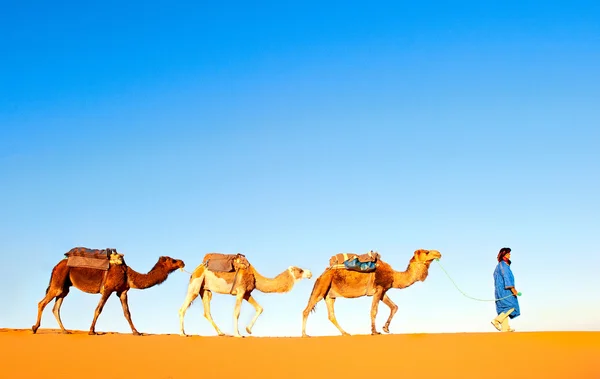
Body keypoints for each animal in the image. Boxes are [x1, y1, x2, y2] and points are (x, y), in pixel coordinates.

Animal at [31, 252, 183, 336]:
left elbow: (127, 313)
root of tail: (56, 266)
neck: (128, 274)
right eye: (172, 260)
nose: (182, 262)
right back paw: (34, 328)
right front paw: (92, 331)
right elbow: (99, 309)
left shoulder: (122, 291)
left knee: (56, 307)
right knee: (42, 303)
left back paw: (65, 331)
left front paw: (137, 332)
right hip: (58, 281)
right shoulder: (108, 288)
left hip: (65, 287)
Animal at [179, 252, 314, 338]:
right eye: (300, 270)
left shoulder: (247, 293)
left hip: (205, 289)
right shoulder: (240, 291)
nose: (310, 273)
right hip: (196, 284)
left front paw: (248, 330)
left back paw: (221, 333)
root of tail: (195, 270)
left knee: (207, 312)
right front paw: (238, 334)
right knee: (183, 308)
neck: (255, 276)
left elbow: (260, 308)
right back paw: (182, 333)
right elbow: (236, 312)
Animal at [302, 251, 442, 336]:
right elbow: (374, 310)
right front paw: (374, 331)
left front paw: (386, 328)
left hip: (329, 294)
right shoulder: (378, 289)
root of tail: (321, 275)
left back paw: (346, 333)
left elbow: (394, 307)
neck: (394, 276)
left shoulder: (383, 290)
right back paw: (304, 335)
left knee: (331, 315)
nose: (438, 253)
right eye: (427, 252)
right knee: (306, 310)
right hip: (322, 286)